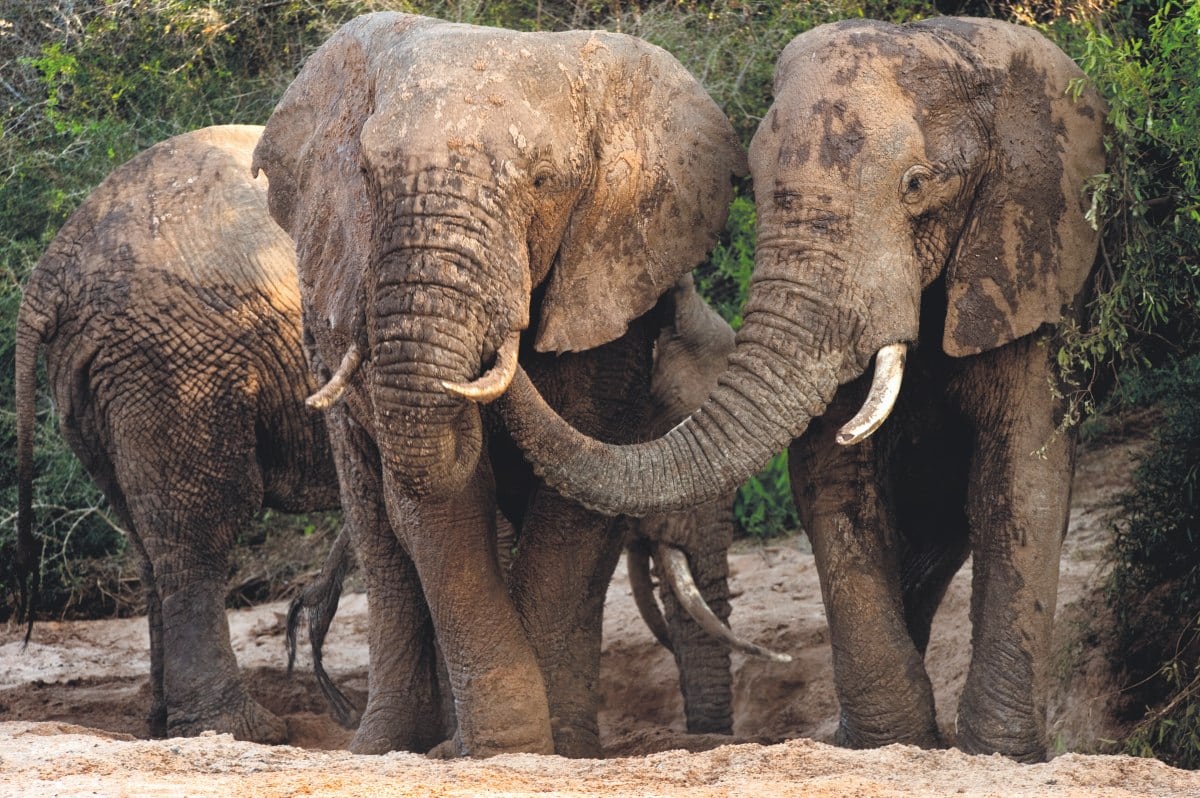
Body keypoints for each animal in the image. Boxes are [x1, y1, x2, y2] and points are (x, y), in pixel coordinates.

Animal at [14, 125, 342, 743]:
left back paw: (163, 725)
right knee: (200, 531)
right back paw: (242, 730)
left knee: (149, 541)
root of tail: (49, 271)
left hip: (92, 379)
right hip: (176, 358)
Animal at [251, 12, 747, 758]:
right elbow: (441, 505)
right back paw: (388, 746)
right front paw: (500, 744)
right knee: (378, 531)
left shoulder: (608, 291)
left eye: (545, 181)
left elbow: (571, 505)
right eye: (366, 174)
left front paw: (543, 747)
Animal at [495, 17, 1107, 762]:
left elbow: (1022, 474)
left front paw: (997, 754)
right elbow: (832, 477)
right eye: (753, 186)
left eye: (916, 185)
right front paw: (889, 743)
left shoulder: (1037, 261)